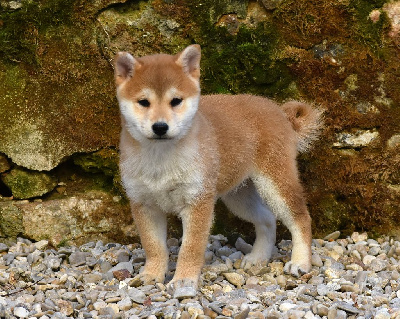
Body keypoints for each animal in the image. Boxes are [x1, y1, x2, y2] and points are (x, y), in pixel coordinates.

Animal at [112, 43, 322, 298]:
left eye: (176, 101)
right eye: (144, 102)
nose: (160, 127)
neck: (160, 159)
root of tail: (279, 112)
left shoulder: (198, 202)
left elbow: (190, 248)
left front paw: (183, 280)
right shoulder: (144, 204)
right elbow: (154, 247)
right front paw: (151, 274)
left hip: (275, 184)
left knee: (300, 218)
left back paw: (300, 262)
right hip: (239, 197)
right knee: (267, 220)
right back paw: (258, 258)